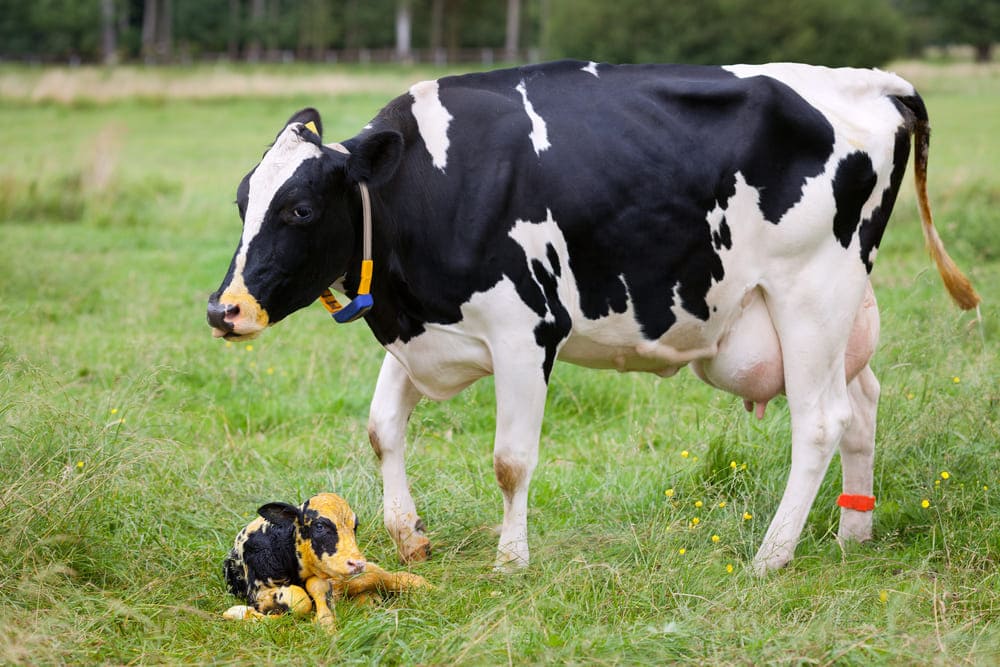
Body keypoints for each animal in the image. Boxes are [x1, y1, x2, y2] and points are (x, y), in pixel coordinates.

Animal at [205, 61, 976, 576]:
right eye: (242, 201)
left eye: (300, 209)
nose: (223, 308)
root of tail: (871, 81)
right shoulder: (424, 333)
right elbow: (381, 428)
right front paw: (408, 536)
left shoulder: (524, 330)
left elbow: (510, 460)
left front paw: (510, 561)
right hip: (841, 311)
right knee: (864, 402)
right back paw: (852, 535)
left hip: (811, 291)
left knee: (821, 422)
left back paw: (771, 555)